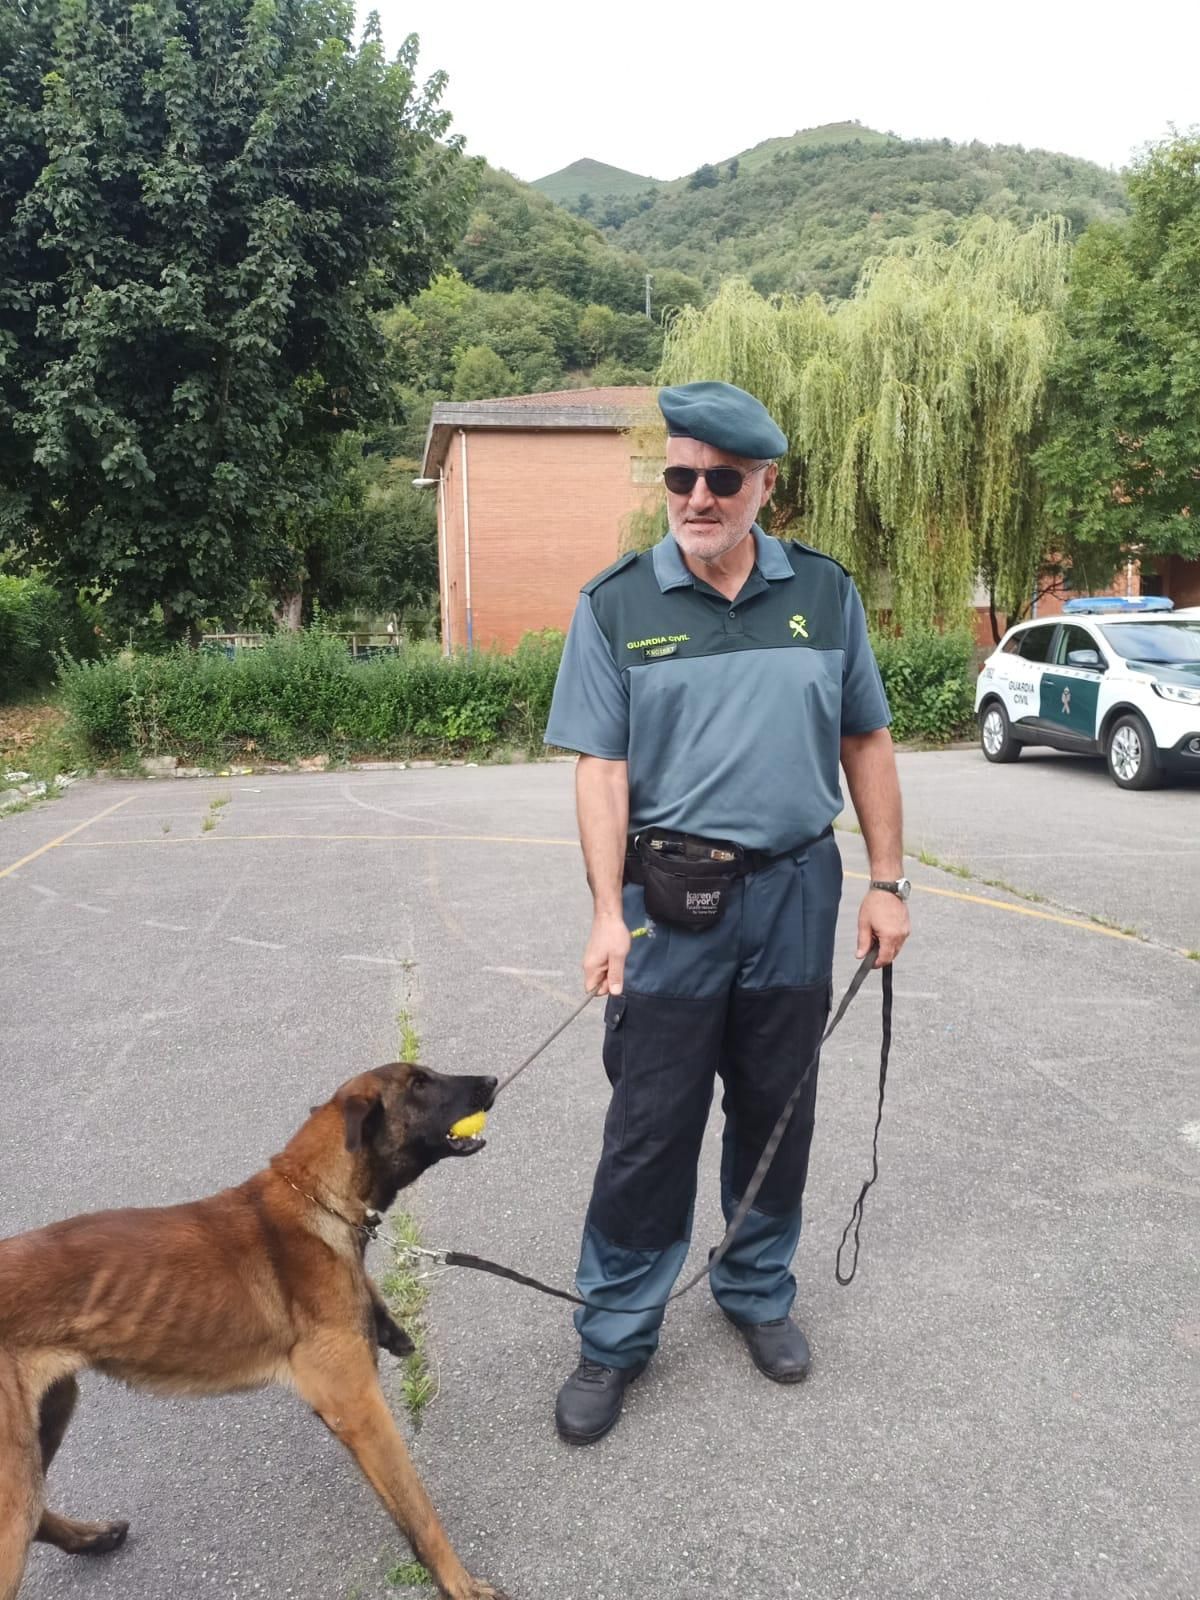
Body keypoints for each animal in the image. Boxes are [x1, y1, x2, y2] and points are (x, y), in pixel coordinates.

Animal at [0, 1062, 512, 1600]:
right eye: (419, 1083)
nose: (490, 1080)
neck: (317, 1197)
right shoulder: (358, 1410)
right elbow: (419, 1511)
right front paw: (461, 1585)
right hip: (15, 1479)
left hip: (48, 1419)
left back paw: (90, 1537)